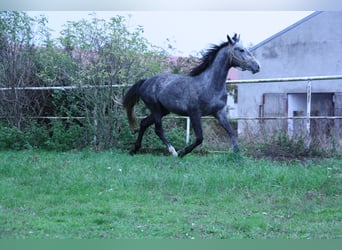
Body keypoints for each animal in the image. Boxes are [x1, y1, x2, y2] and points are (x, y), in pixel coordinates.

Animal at [123, 34, 260, 157]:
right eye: (241, 50)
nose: (257, 66)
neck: (209, 85)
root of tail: (145, 81)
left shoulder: (219, 112)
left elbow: (231, 132)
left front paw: (238, 154)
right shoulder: (194, 113)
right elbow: (199, 138)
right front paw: (182, 152)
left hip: (163, 110)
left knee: (144, 123)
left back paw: (134, 150)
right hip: (155, 108)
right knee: (158, 129)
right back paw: (173, 151)